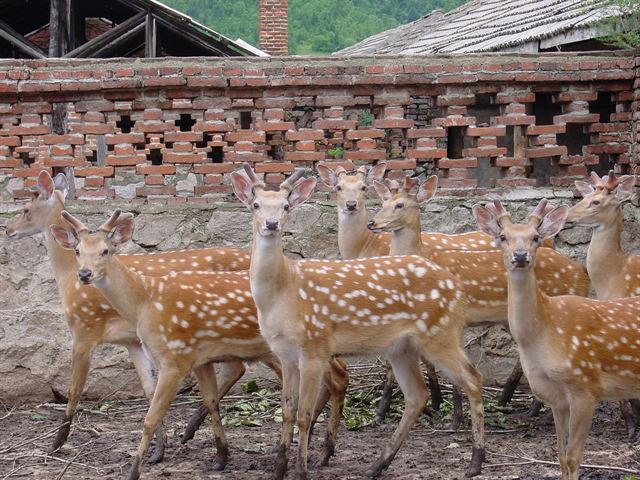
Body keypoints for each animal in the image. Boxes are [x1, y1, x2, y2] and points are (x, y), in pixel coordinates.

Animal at [3, 170, 262, 458]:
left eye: (26, 209)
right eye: (78, 250)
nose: (8, 229)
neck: (67, 276)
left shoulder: (84, 329)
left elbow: (74, 390)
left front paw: (56, 443)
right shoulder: (131, 341)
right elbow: (148, 389)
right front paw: (159, 449)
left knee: (240, 366)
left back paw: (192, 430)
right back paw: (190, 431)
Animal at [51, 212, 350, 480]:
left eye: (105, 250)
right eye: (77, 251)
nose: (84, 274)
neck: (146, 300)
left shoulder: (175, 357)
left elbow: (149, 417)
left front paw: (134, 470)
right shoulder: (198, 358)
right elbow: (210, 399)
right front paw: (221, 457)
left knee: (337, 377)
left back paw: (324, 450)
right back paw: (319, 448)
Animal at [230, 162, 484, 480]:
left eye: (286, 206)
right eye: (255, 205)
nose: (272, 224)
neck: (283, 294)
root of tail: (459, 289)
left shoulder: (315, 347)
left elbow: (303, 414)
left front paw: (300, 470)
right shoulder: (285, 354)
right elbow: (286, 412)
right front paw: (278, 470)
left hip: (441, 333)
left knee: (474, 379)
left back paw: (475, 461)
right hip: (402, 347)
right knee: (417, 394)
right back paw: (377, 465)